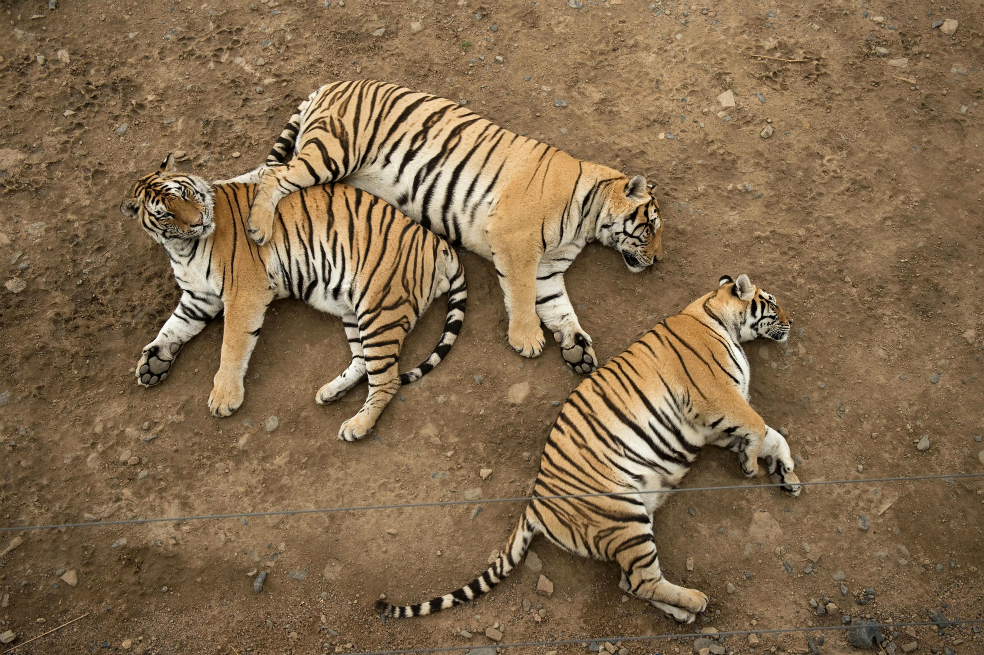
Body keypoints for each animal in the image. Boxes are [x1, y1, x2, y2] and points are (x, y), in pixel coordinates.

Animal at [120, 154, 467, 442]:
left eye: (185, 194)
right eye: (165, 215)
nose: (198, 222)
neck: (181, 247)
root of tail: (438, 243)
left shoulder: (243, 291)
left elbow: (231, 345)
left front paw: (224, 398)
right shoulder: (198, 297)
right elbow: (173, 327)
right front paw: (152, 363)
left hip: (380, 310)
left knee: (387, 380)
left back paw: (356, 426)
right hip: (355, 311)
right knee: (363, 364)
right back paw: (331, 392)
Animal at [237, 79, 664, 375]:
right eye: (652, 226)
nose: (659, 260)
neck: (587, 221)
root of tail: (331, 84)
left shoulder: (548, 267)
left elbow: (559, 306)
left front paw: (577, 348)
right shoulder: (516, 241)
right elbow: (522, 294)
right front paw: (526, 339)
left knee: (261, 174)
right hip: (333, 152)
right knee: (274, 177)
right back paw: (256, 228)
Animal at [375, 274, 801, 624]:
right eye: (771, 301)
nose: (793, 320)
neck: (714, 314)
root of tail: (535, 502)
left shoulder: (709, 424)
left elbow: (773, 435)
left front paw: (786, 475)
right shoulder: (716, 397)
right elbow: (758, 425)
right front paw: (752, 466)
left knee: (630, 583)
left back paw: (682, 612)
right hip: (625, 515)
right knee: (640, 581)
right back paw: (694, 601)